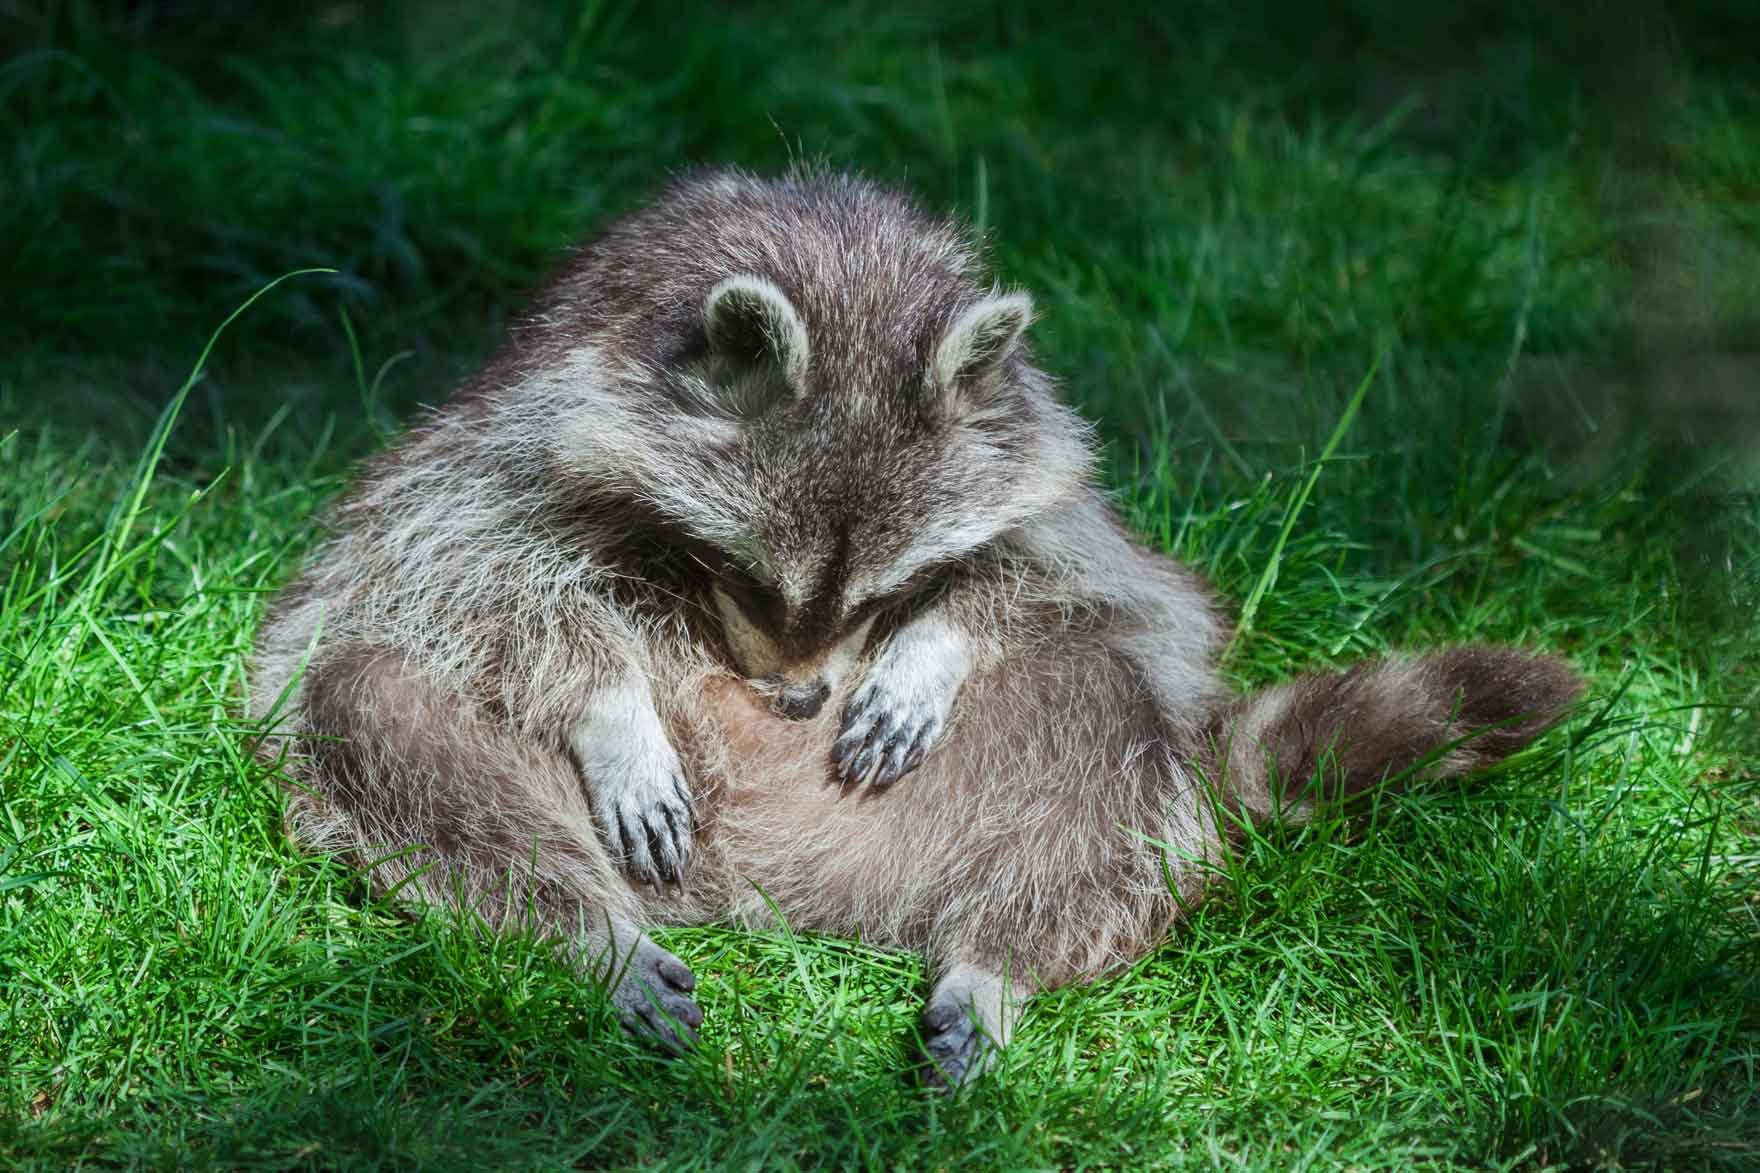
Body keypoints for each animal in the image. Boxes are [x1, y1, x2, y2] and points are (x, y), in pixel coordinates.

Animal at [251, 169, 1584, 1084]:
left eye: (885, 592)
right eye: (742, 571)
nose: (799, 703)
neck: (843, 273)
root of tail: (771, 896)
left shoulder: (1032, 443)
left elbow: (1089, 581)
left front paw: (932, 646)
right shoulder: (517, 430)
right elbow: (467, 569)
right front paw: (611, 709)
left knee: (1105, 738)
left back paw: (995, 961)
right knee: (378, 708)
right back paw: (592, 935)